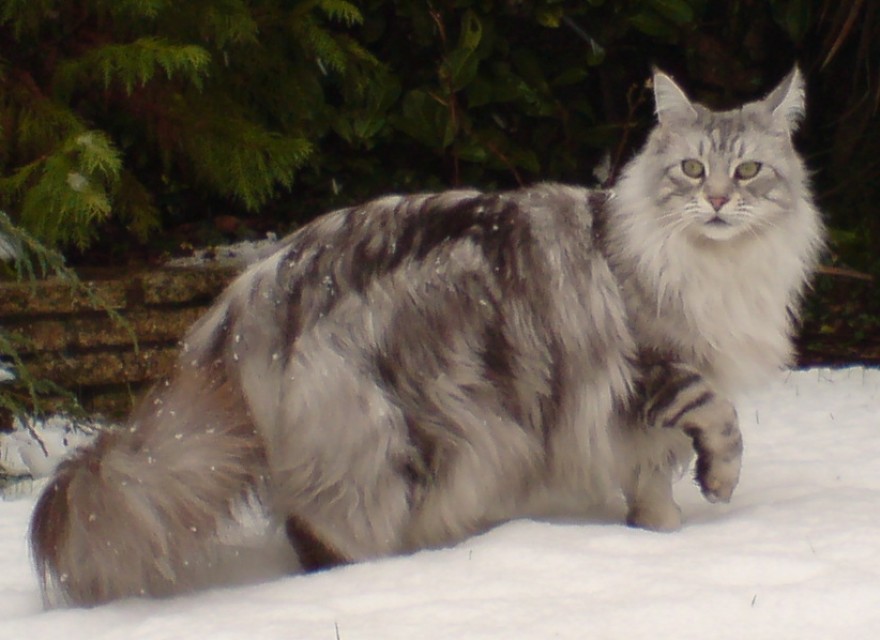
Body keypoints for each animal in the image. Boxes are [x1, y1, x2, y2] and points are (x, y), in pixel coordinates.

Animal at [29, 67, 824, 608]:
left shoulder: (634, 416)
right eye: (691, 169)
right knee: (334, 528)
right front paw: (714, 488)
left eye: (747, 170)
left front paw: (657, 535)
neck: (708, 264)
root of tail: (254, 287)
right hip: (406, 424)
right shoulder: (655, 369)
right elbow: (716, 418)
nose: (716, 200)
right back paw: (400, 573)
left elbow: (648, 479)